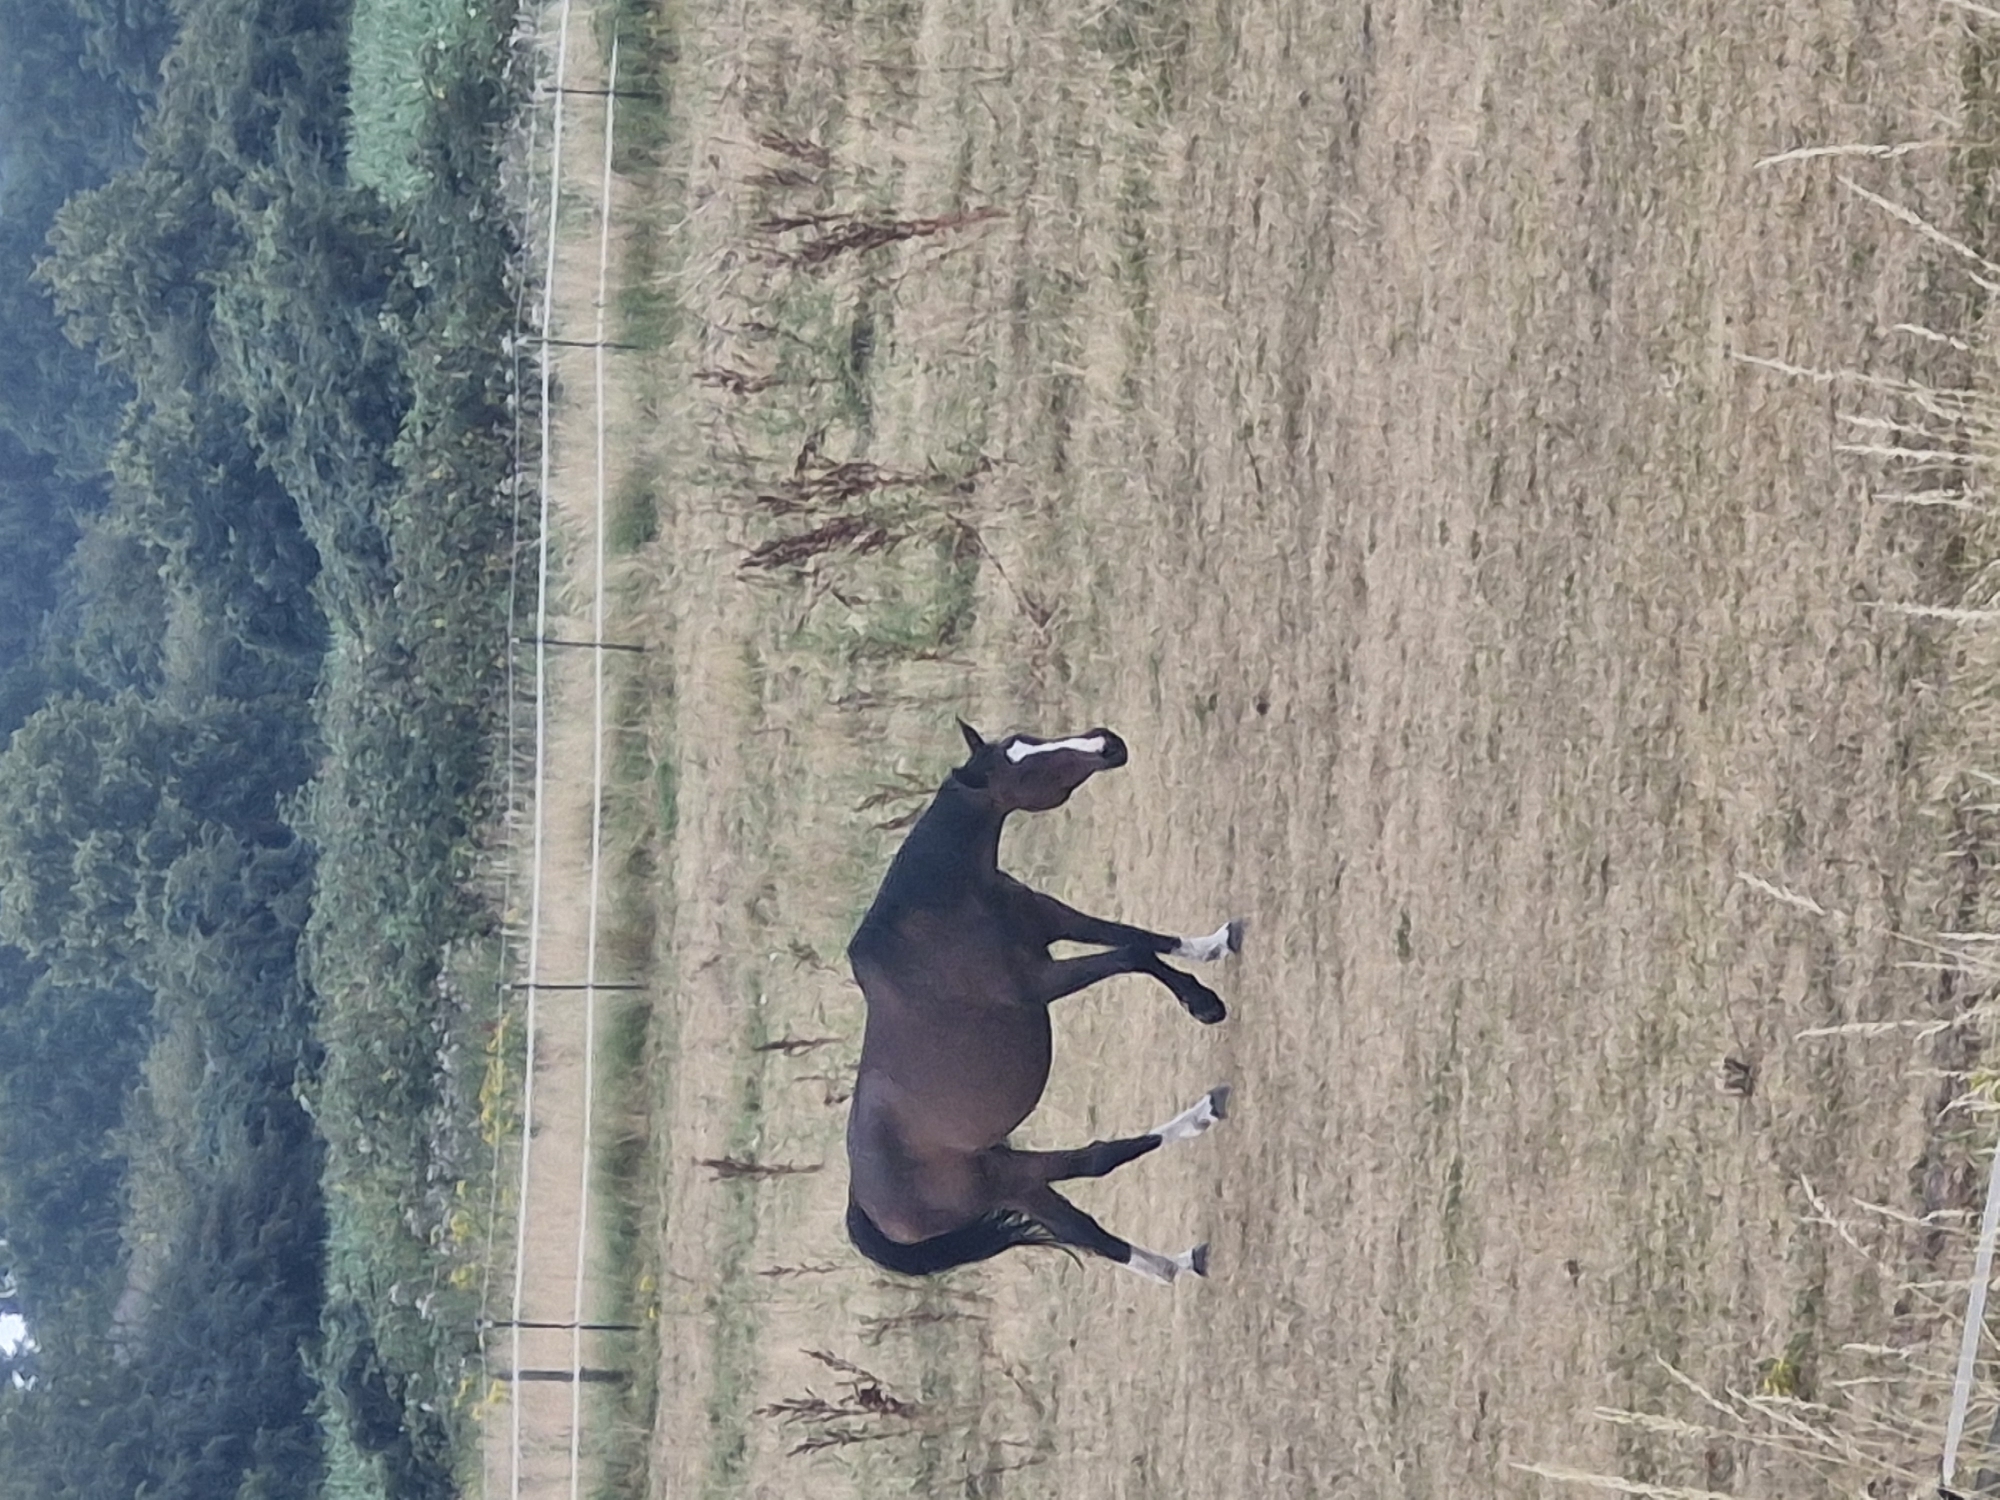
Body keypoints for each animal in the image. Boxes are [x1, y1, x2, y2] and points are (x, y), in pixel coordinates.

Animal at [843, 719, 1242, 1282]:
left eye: (1027, 739)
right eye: (1024, 768)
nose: (1107, 743)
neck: (940, 907)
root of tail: (867, 1206)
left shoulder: (1056, 921)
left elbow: (1138, 935)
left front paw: (1215, 944)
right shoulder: (1041, 982)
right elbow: (1132, 953)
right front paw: (1202, 1002)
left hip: (1018, 1179)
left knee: (1087, 1220)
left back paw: (1178, 1260)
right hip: (1008, 1178)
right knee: (1093, 1168)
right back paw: (1200, 1124)